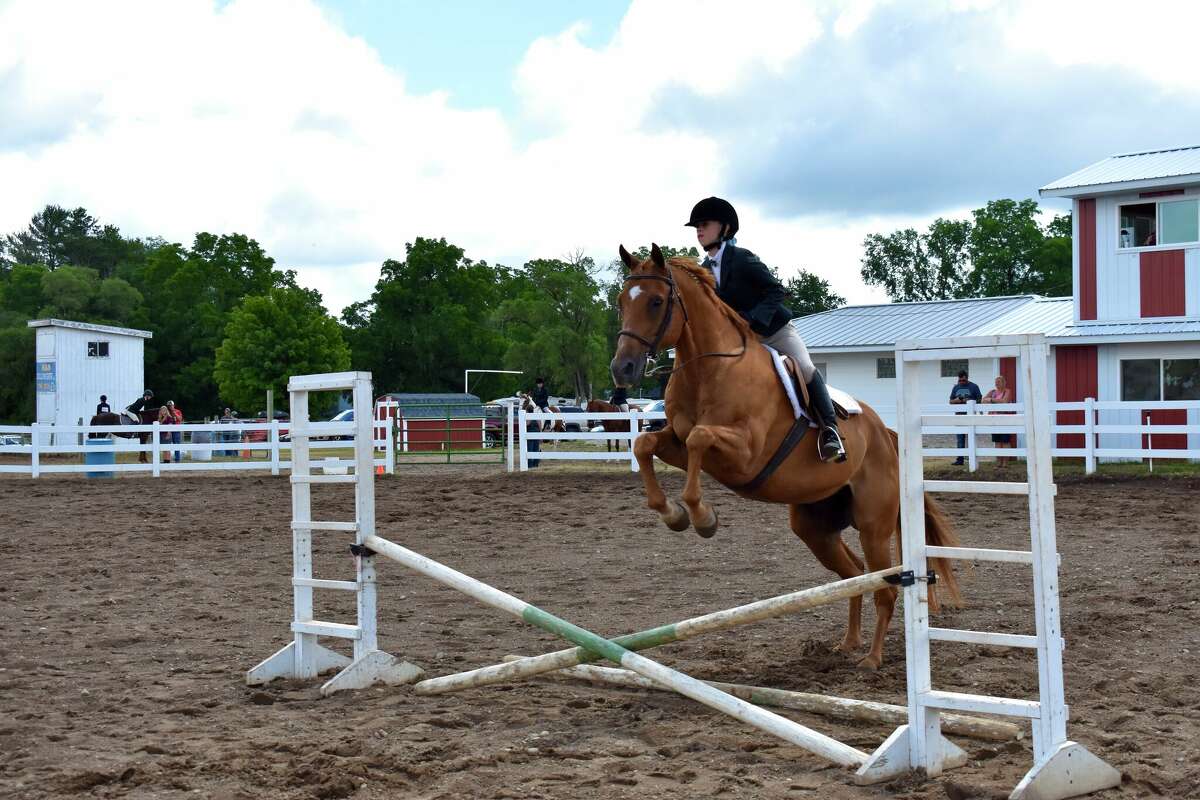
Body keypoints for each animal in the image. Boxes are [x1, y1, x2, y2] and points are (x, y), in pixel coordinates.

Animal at [614, 245, 960, 671]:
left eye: (656, 301)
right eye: (620, 303)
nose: (622, 369)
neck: (710, 369)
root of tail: (887, 435)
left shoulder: (743, 453)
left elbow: (699, 438)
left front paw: (702, 517)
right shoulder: (676, 442)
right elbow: (645, 445)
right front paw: (672, 514)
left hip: (873, 526)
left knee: (886, 587)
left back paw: (872, 658)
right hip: (814, 527)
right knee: (853, 574)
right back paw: (847, 643)